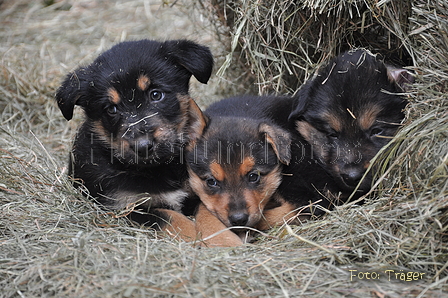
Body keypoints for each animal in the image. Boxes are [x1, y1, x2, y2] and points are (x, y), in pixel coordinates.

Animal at [55, 39, 214, 240]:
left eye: (156, 95)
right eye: (111, 109)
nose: (143, 146)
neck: (159, 168)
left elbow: (208, 212)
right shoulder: (125, 206)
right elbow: (171, 217)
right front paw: (195, 237)